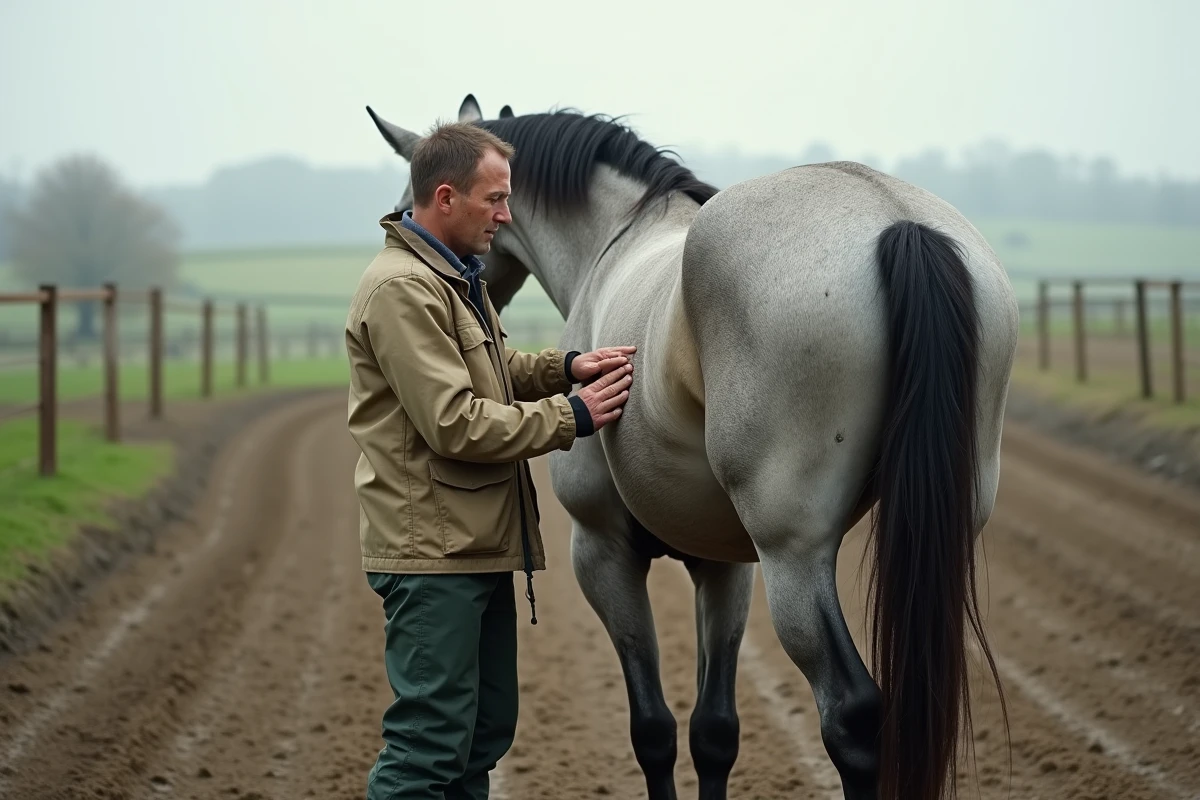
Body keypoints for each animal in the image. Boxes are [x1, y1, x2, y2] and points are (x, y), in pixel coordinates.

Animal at [365, 94, 1018, 800]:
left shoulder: (603, 553)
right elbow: (714, 731)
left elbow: (652, 727)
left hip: (794, 554)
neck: (615, 241)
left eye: (406, 198)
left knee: (850, 711)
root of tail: (895, 220)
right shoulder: (726, 566)